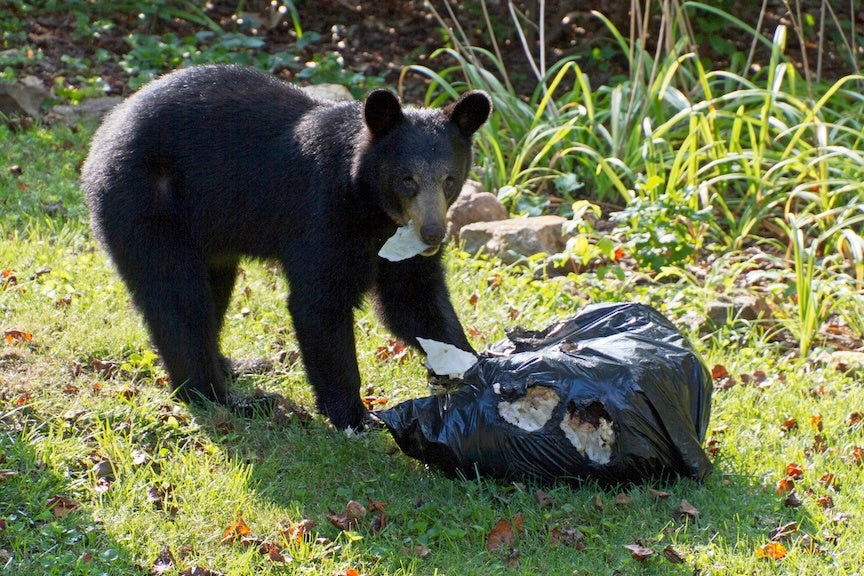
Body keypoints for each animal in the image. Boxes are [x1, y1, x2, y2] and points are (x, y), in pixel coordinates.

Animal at [81, 65, 492, 431]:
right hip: (148, 204)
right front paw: (357, 417)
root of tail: (103, 136)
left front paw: (472, 369)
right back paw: (224, 397)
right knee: (177, 298)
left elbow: (415, 301)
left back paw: (233, 365)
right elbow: (319, 303)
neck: (373, 209)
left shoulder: (398, 246)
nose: (432, 234)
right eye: (408, 179)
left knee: (212, 290)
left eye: (449, 180)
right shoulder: (323, 213)